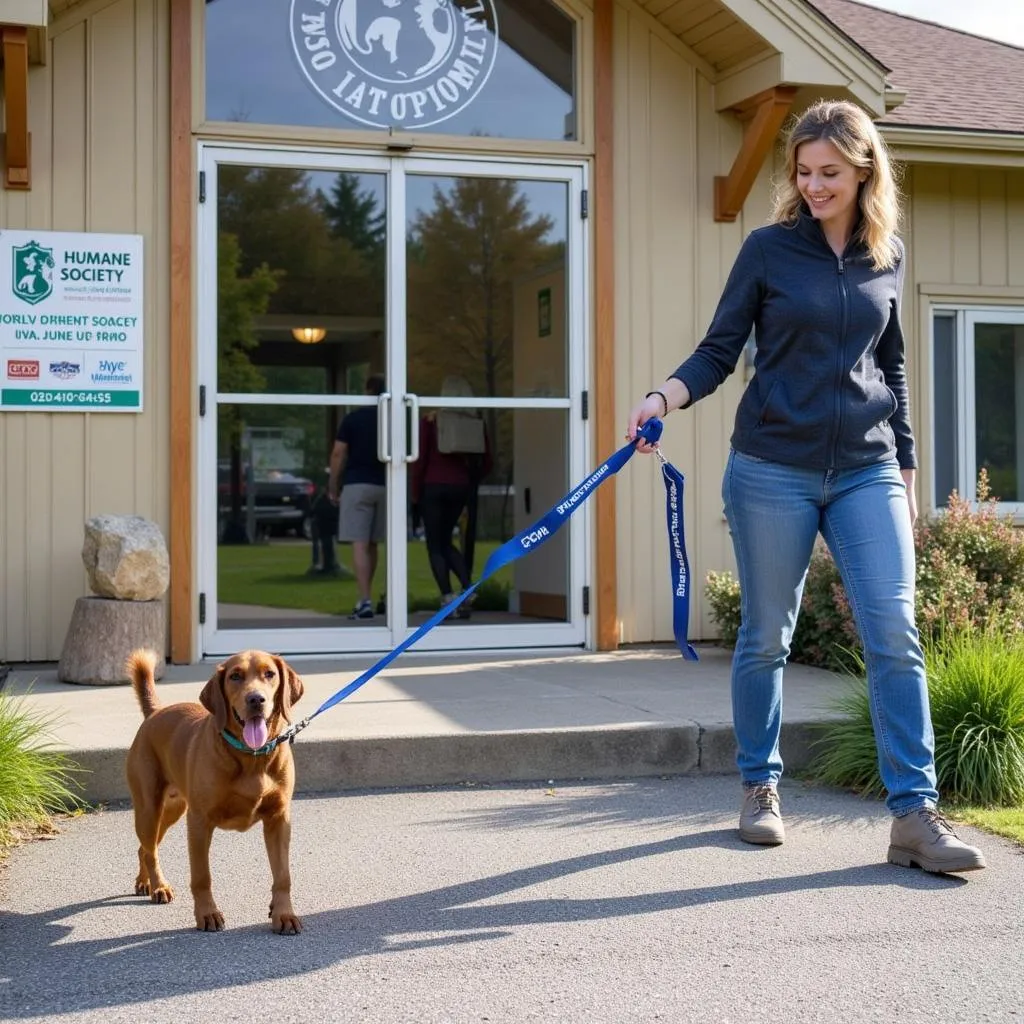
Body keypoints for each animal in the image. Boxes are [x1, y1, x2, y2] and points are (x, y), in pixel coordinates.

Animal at [123, 651, 303, 933]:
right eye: (235, 676)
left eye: (270, 674)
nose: (256, 699)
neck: (251, 757)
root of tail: (156, 712)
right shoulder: (199, 821)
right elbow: (201, 876)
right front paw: (207, 913)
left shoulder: (279, 818)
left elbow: (283, 875)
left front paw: (283, 913)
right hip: (148, 809)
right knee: (150, 849)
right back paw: (159, 885)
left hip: (173, 809)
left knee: (145, 848)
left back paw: (145, 882)